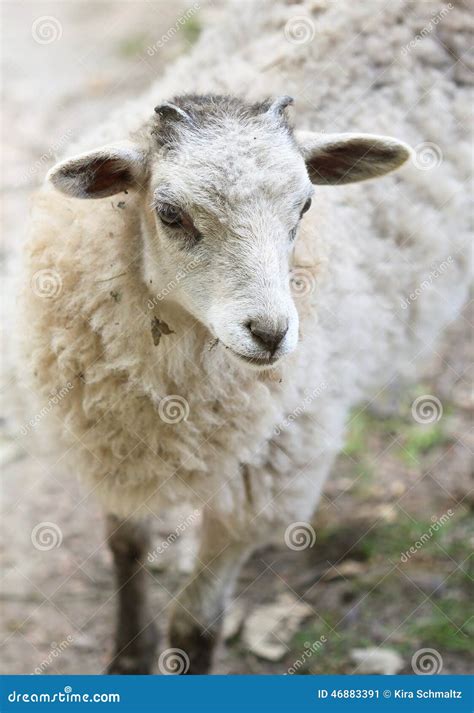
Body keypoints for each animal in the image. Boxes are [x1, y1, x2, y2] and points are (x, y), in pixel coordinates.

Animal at [17, 0, 470, 672]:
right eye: (170, 213)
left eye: (305, 206)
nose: (271, 333)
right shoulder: (116, 440)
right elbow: (125, 546)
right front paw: (127, 656)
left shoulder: (262, 482)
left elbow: (196, 625)